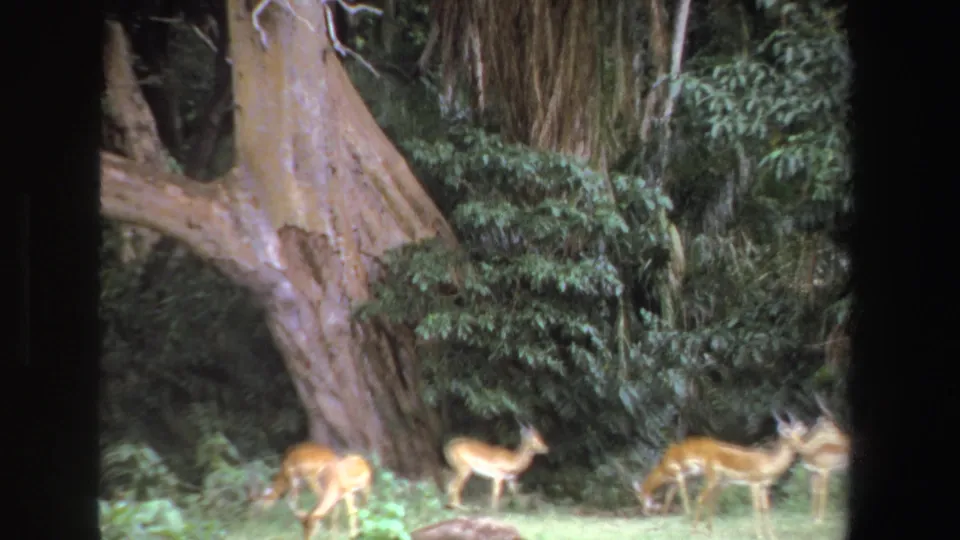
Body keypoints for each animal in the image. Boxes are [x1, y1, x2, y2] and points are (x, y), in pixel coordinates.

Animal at [688, 411, 808, 540]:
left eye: (799, 434)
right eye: (788, 434)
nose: (802, 446)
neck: (768, 462)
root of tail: (708, 454)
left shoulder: (764, 486)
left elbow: (765, 509)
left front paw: (772, 536)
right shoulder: (754, 484)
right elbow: (756, 507)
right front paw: (760, 536)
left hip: (722, 483)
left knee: (711, 501)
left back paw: (710, 532)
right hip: (712, 480)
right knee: (700, 498)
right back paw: (693, 532)